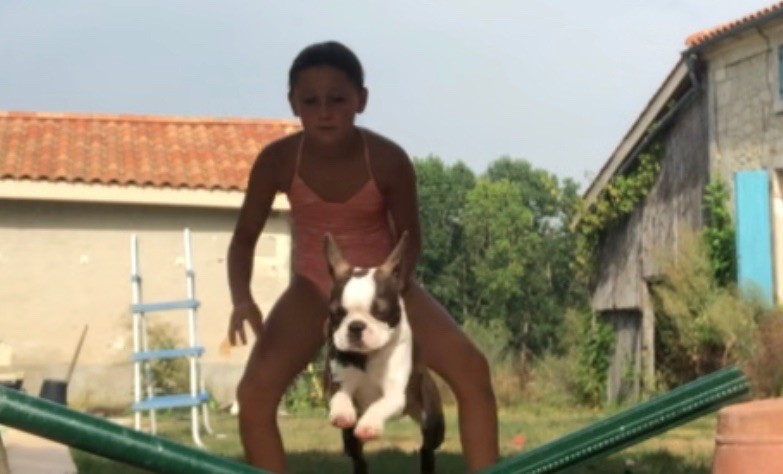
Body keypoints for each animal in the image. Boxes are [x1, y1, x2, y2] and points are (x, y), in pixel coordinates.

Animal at [323, 231, 445, 474]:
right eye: (336, 313)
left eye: (380, 311)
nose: (356, 326)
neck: (368, 356)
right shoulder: (338, 383)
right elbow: (340, 396)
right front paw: (342, 413)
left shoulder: (395, 393)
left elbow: (380, 405)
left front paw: (369, 425)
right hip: (350, 441)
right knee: (358, 456)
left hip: (432, 421)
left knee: (428, 448)